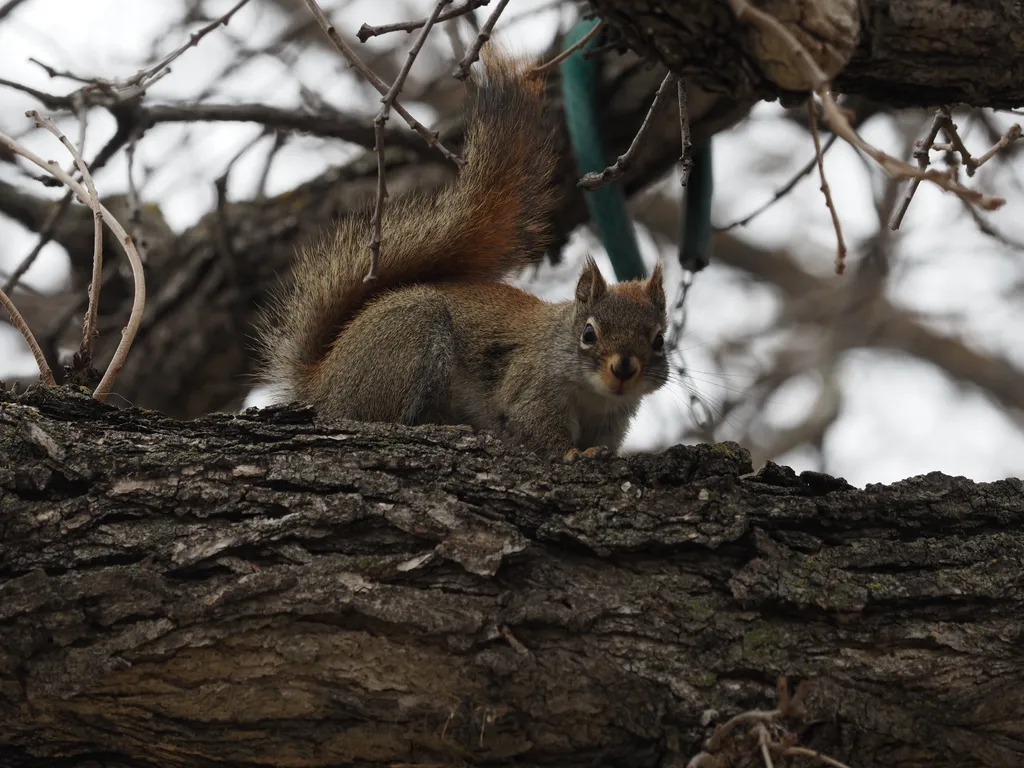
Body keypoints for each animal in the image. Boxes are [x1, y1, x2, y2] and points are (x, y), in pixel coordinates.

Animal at [256, 54, 668, 460]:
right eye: (588, 333)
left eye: (660, 340)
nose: (624, 368)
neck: (594, 396)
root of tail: (322, 382)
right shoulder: (530, 388)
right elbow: (539, 431)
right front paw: (571, 454)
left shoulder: (610, 421)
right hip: (408, 343)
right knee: (387, 419)